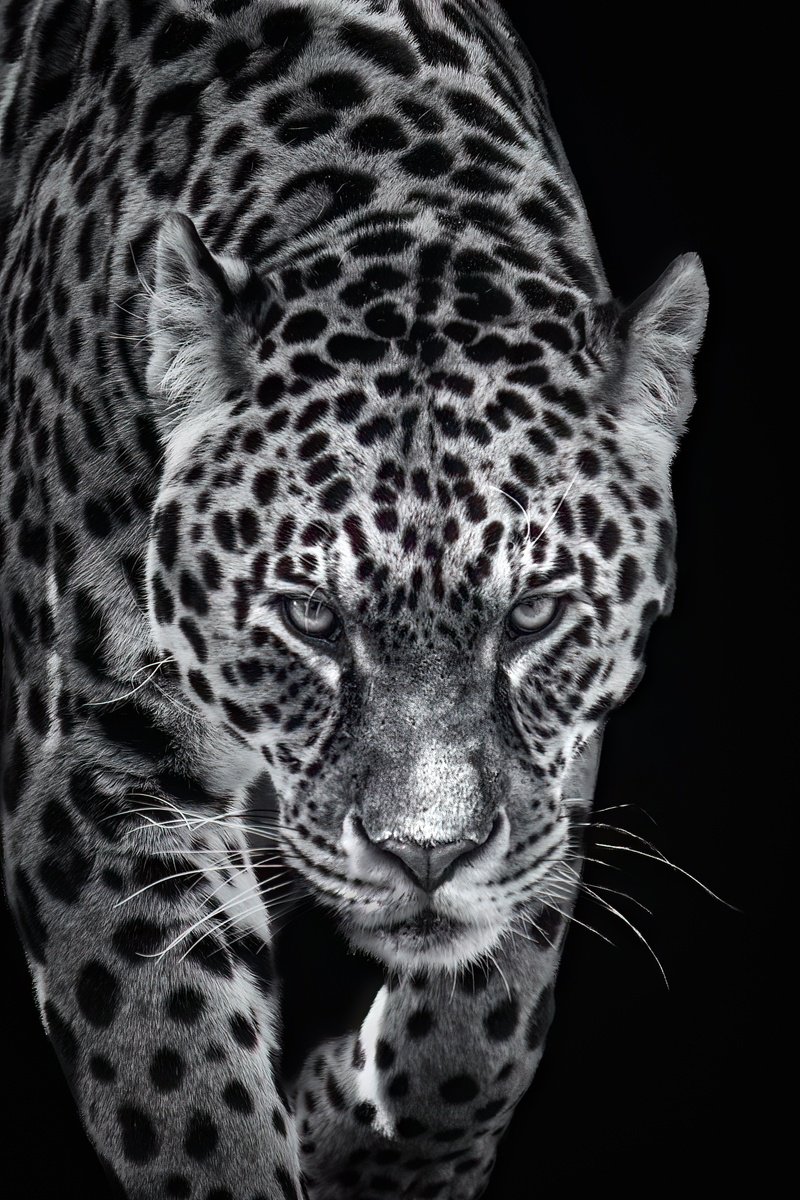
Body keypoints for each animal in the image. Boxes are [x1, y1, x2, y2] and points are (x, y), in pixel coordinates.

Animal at [0, 1, 708, 1197]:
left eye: (530, 616)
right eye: (311, 618)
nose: (424, 856)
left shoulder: (558, 765)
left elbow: (486, 1014)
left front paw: (363, 1135)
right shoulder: (95, 756)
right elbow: (185, 1101)